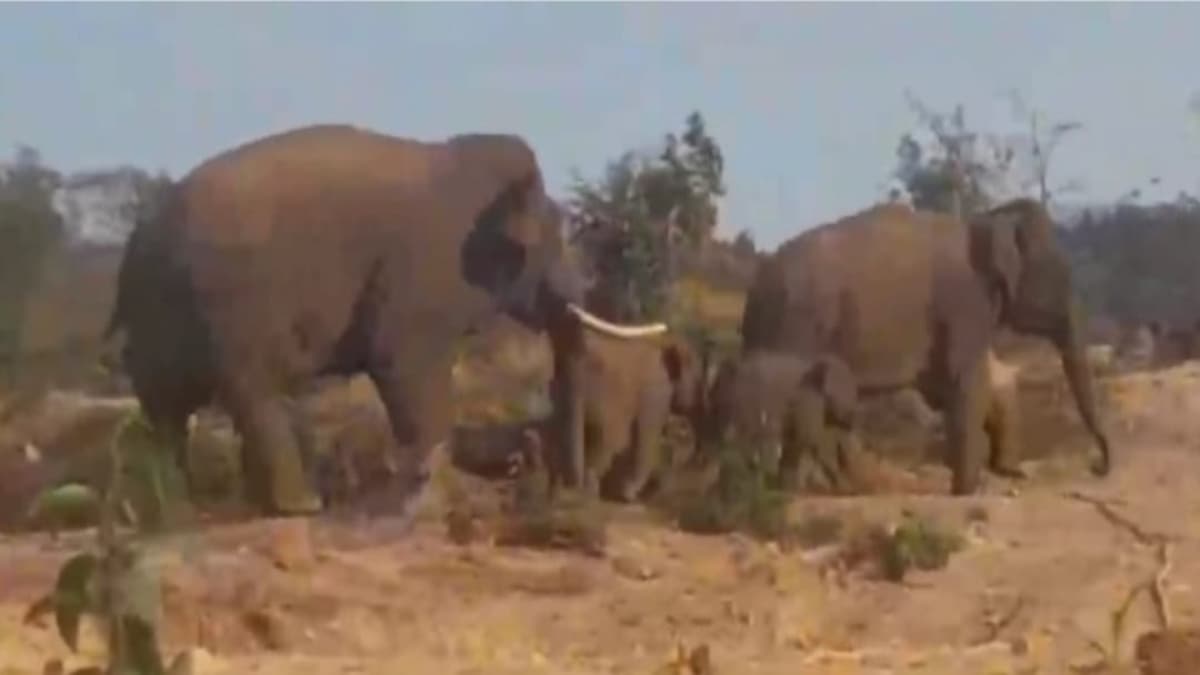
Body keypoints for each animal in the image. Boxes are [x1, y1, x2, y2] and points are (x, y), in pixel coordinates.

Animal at [103, 123, 667, 516]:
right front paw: (431, 499)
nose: (574, 494)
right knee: (251, 392)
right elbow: (405, 366)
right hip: (230, 306)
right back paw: (298, 507)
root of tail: (135, 244)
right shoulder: (423, 272)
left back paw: (179, 507)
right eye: (556, 242)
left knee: (169, 410)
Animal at [740, 198, 1112, 495]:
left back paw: (849, 488)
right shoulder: (964, 306)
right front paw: (968, 491)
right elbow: (966, 384)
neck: (987, 221)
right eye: (1063, 276)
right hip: (797, 329)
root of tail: (758, 285)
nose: (1097, 468)